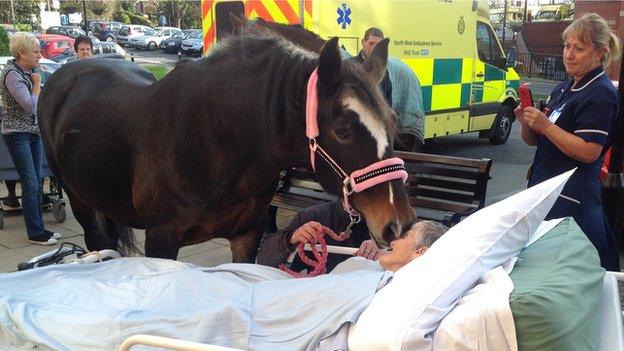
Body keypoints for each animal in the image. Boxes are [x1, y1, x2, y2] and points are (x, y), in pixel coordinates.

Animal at [37, 22, 414, 264]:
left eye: (392, 124)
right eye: (343, 130)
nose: (399, 224)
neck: (216, 145)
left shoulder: (247, 235)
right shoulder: (161, 240)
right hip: (81, 202)